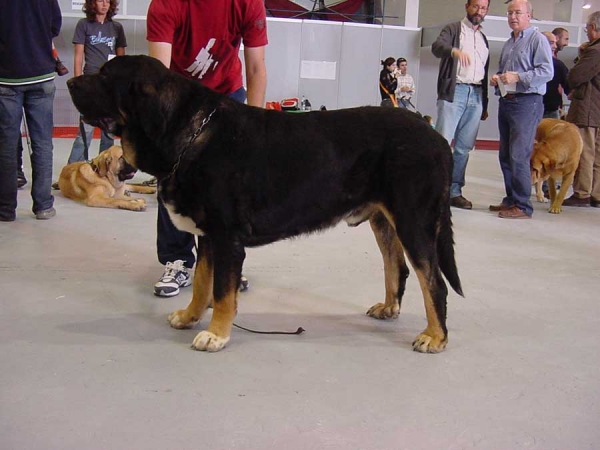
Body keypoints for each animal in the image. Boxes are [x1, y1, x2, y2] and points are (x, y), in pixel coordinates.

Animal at [69, 54, 464, 354]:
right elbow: (202, 282)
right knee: (397, 267)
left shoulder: (226, 237)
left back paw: (435, 336)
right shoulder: (208, 236)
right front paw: (189, 316)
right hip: (384, 220)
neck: (191, 133)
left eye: (105, 76)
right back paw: (389, 308)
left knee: (434, 282)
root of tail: (435, 136)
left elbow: (222, 292)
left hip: (414, 221)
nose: (71, 82)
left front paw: (217, 333)